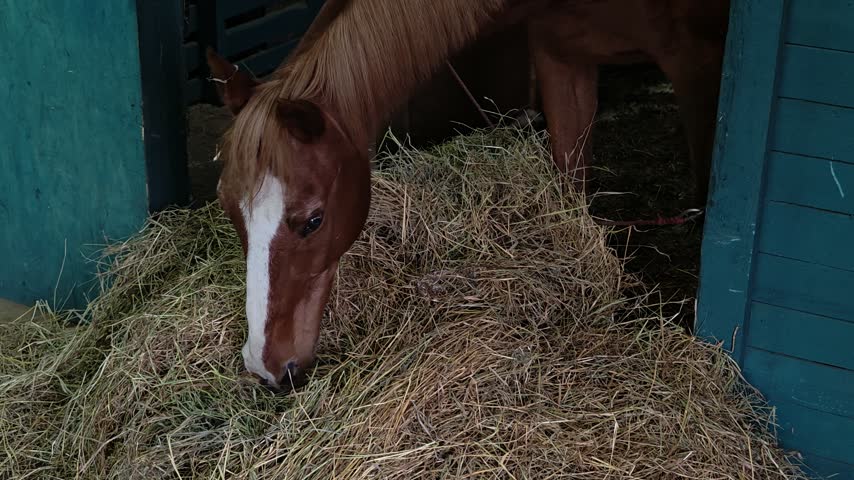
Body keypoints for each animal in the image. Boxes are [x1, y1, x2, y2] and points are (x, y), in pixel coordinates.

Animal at [204, 0, 730, 390]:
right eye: (231, 214)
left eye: (312, 220)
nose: (266, 366)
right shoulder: (561, 56)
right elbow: (569, 191)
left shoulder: (698, 66)